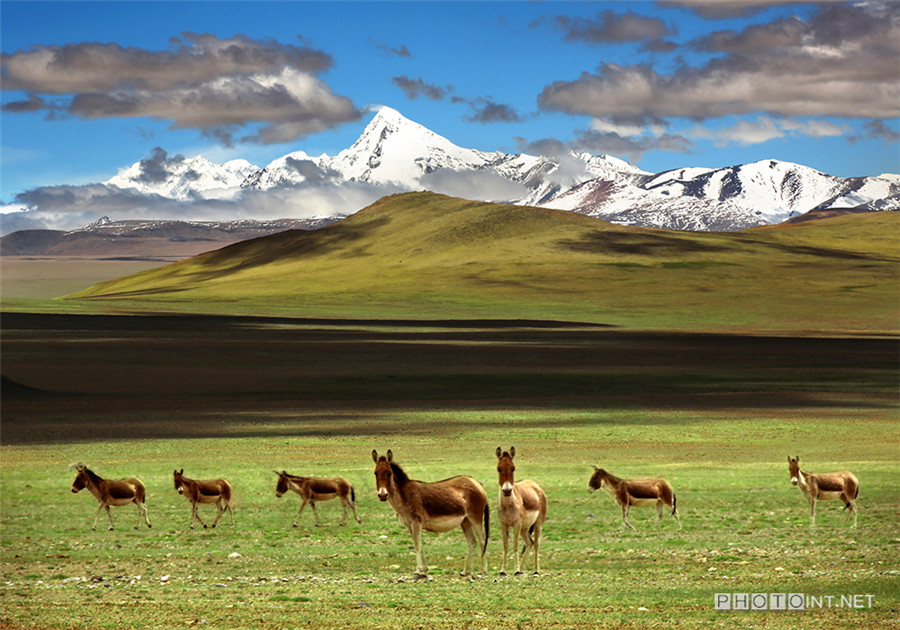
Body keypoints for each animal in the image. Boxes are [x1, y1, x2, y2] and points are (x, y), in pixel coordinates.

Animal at [370, 450, 488, 584]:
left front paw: (419, 571)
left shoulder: (416, 522)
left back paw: (483, 572)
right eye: (375, 473)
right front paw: (424, 571)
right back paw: (466, 571)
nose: (383, 495)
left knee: (482, 541)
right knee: (472, 542)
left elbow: (417, 545)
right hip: (465, 521)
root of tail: (476, 482)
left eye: (389, 473)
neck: (404, 496)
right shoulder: (409, 525)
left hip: (475, 517)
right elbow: (418, 544)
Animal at [496, 446, 544, 576]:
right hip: (524, 528)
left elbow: (515, 546)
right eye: (498, 469)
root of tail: (535, 485)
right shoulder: (503, 524)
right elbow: (506, 546)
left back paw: (536, 570)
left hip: (537, 524)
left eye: (513, 468)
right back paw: (522, 569)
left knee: (536, 544)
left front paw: (516, 569)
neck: (508, 505)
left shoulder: (516, 524)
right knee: (530, 543)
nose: (507, 491)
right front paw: (503, 570)